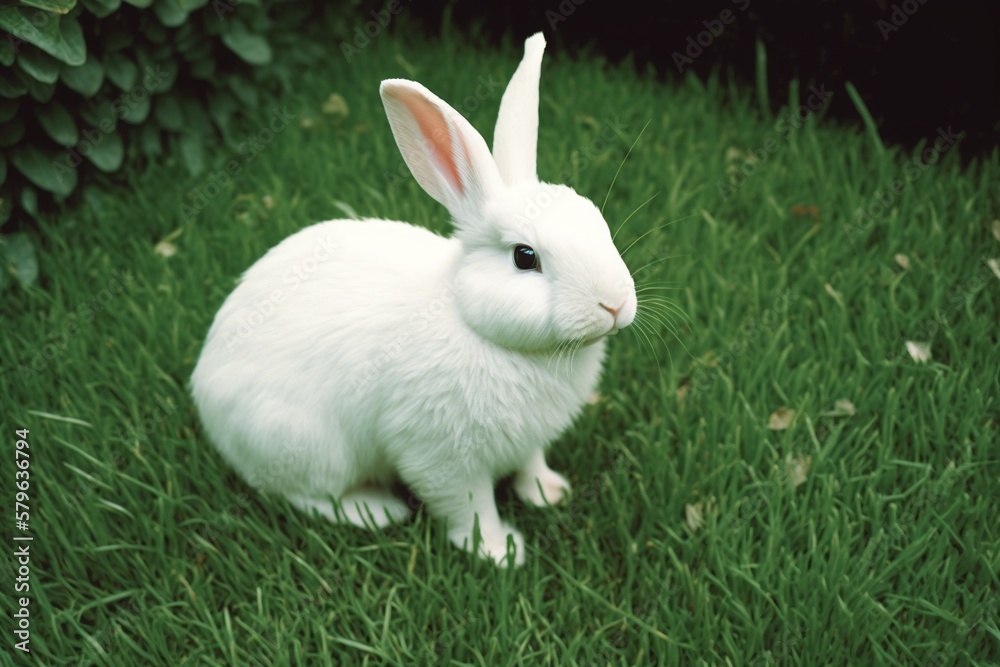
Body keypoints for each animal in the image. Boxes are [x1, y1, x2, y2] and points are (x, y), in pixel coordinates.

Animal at [191, 31, 636, 564]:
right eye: (525, 257)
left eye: (595, 218)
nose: (614, 304)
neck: (477, 326)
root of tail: (203, 391)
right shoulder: (440, 453)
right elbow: (469, 505)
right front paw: (499, 552)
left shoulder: (528, 441)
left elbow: (530, 464)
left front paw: (549, 493)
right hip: (304, 443)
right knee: (302, 494)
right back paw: (374, 511)